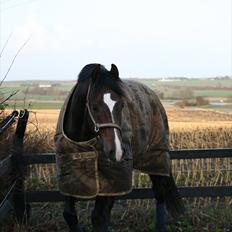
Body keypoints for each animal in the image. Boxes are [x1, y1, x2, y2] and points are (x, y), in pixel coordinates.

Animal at [54, 63, 185, 232]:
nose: (116, 152)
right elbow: (70, 215)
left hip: (156, 157)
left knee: (159, 193)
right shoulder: (69, 178)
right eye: (94, 106)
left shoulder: (111, 180)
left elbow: (98, 218)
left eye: (122, 105)